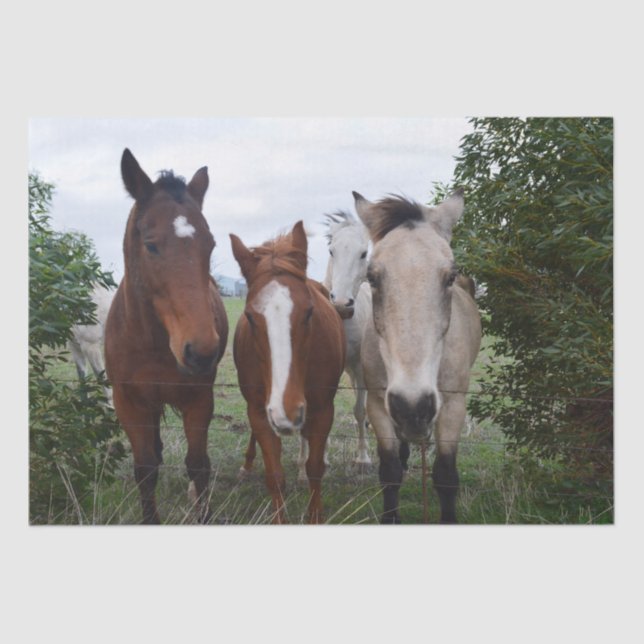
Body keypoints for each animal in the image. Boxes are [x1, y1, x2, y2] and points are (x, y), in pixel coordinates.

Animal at [104, 149, 228, 524]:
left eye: (210, 245)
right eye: (151, 246)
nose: (201, 351)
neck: (154, 345)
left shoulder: (200, 400)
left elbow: (198, 466)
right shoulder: (129, 404)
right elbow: (145, 469)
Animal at [231, 221, 345, 523]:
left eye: (309, 312)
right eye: (249, 317)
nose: (287, 411)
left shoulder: (323, 410)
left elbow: (316, 468)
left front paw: (315, 513)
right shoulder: (260, 412)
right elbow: (274, 475)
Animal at [354, 189, 481, 523]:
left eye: (450, 276)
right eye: (372, 277)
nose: (413, 406)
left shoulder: (453, 406)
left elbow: (446, 475)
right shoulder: (378, 403)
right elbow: (389, 472)